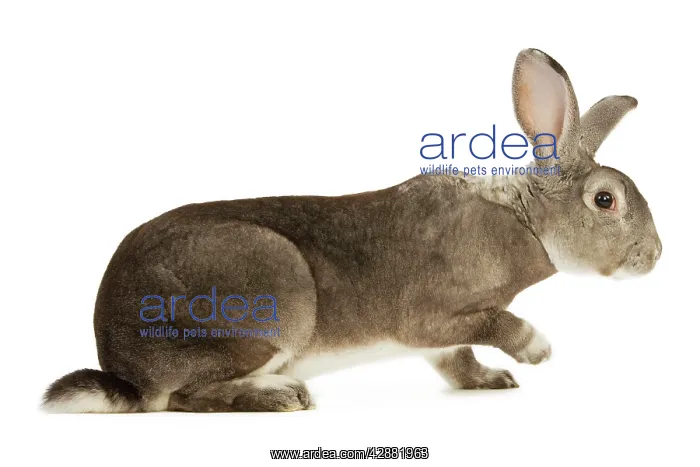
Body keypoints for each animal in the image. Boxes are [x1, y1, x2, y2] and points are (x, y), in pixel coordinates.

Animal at [43, 48, 661, 413]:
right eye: (605, 200)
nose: (655, 256)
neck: (525, 221)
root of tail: (123, 369)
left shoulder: (445, 339)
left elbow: (456, 360)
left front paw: (492, 381)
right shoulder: (431, 317)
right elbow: (492, 324)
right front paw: (538, 351)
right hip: (268, 306)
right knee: (185, 396)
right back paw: (284, 397)